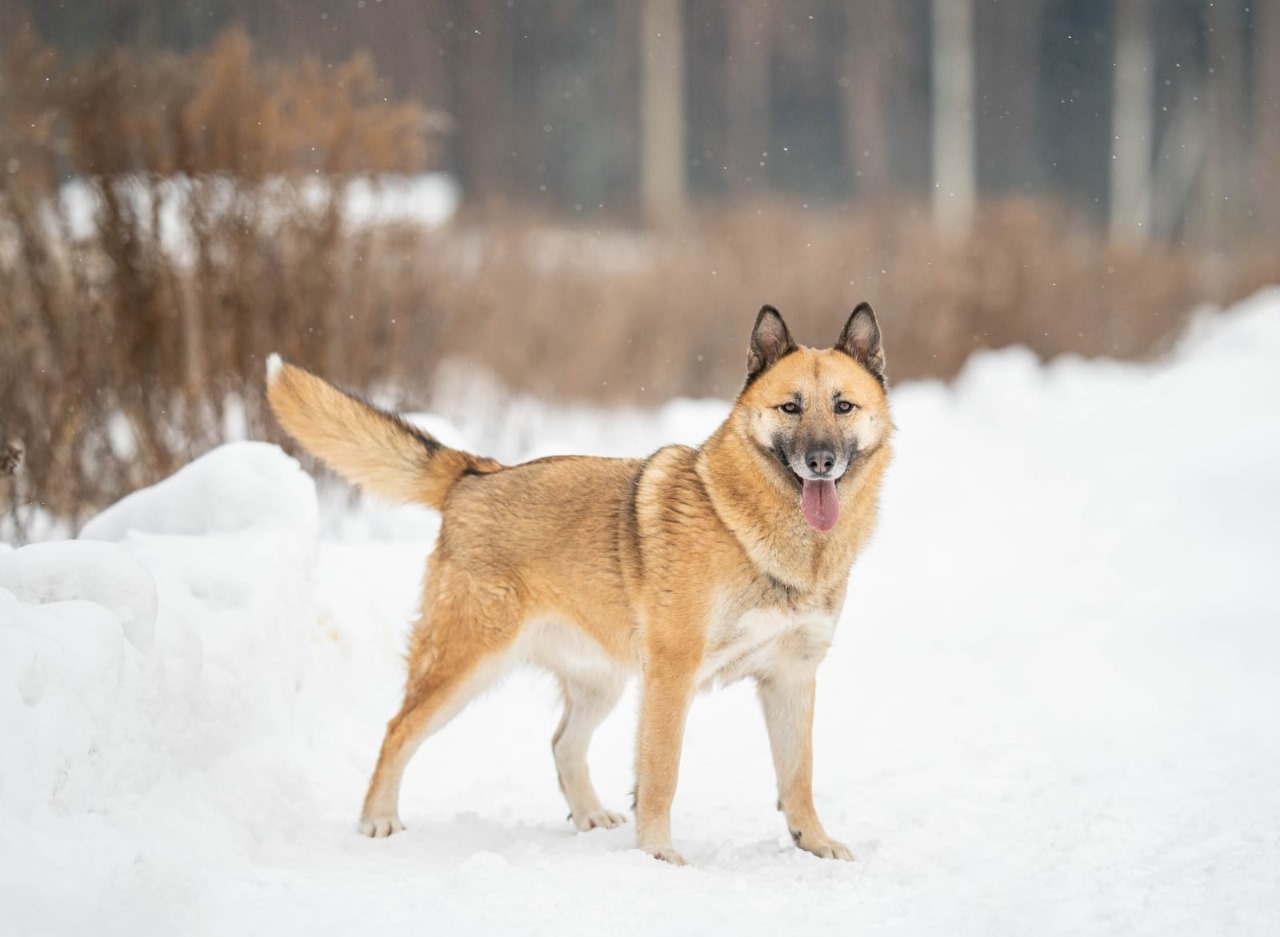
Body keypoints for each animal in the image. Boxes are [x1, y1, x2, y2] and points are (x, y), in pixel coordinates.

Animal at [266, 305, 896, 865]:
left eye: (843, 406)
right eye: (790, 407)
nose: (821, 461)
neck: (758, 535)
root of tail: (476, 473)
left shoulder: (791, 678)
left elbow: (799, 776)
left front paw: (813, 843)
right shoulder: (673, 676)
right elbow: (662, 773)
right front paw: (657, 853)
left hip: (601, 682)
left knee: (562, 743)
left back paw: (589, 816)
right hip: (465, 667)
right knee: (397, 731)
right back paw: (377, 819)